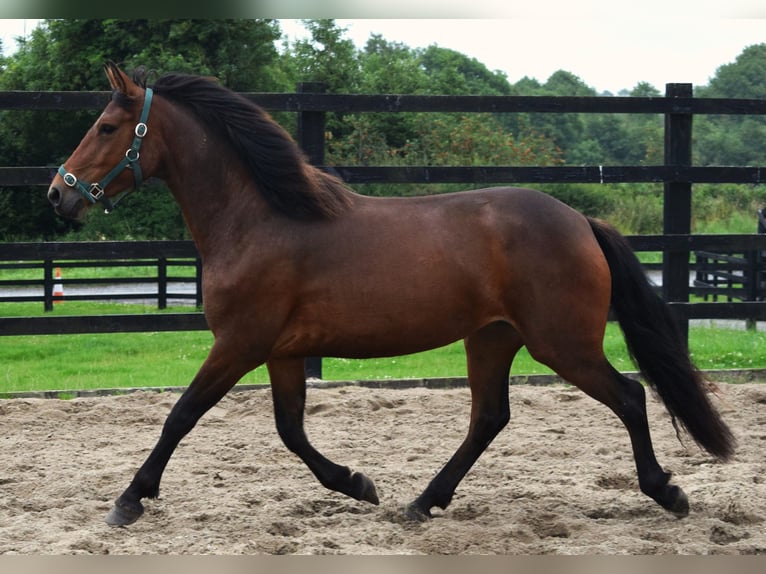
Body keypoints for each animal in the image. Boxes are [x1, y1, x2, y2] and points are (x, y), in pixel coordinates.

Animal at [46, 62, 736, 528]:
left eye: (107, 126)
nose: (59, 194)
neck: (261, 219)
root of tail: (580, 221)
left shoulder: (239, 343)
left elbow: (181, 415)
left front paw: (128, 500)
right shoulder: (281, 352)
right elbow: (289, 430)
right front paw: (357, 483)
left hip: (561, 344)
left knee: (630, 396)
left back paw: (667, 492)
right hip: (493, 338)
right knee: (489, 418)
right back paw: (422, 502)